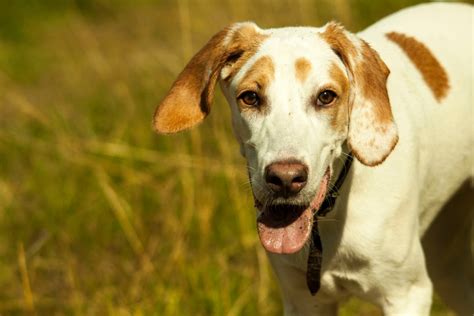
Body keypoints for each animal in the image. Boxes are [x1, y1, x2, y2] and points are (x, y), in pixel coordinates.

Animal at [154, 3, 472, 316]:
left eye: (326, 96)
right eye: (250, 97)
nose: (285, 179)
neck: (329, 218)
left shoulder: (406, 294)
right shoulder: (304, 300)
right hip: (448, 268)